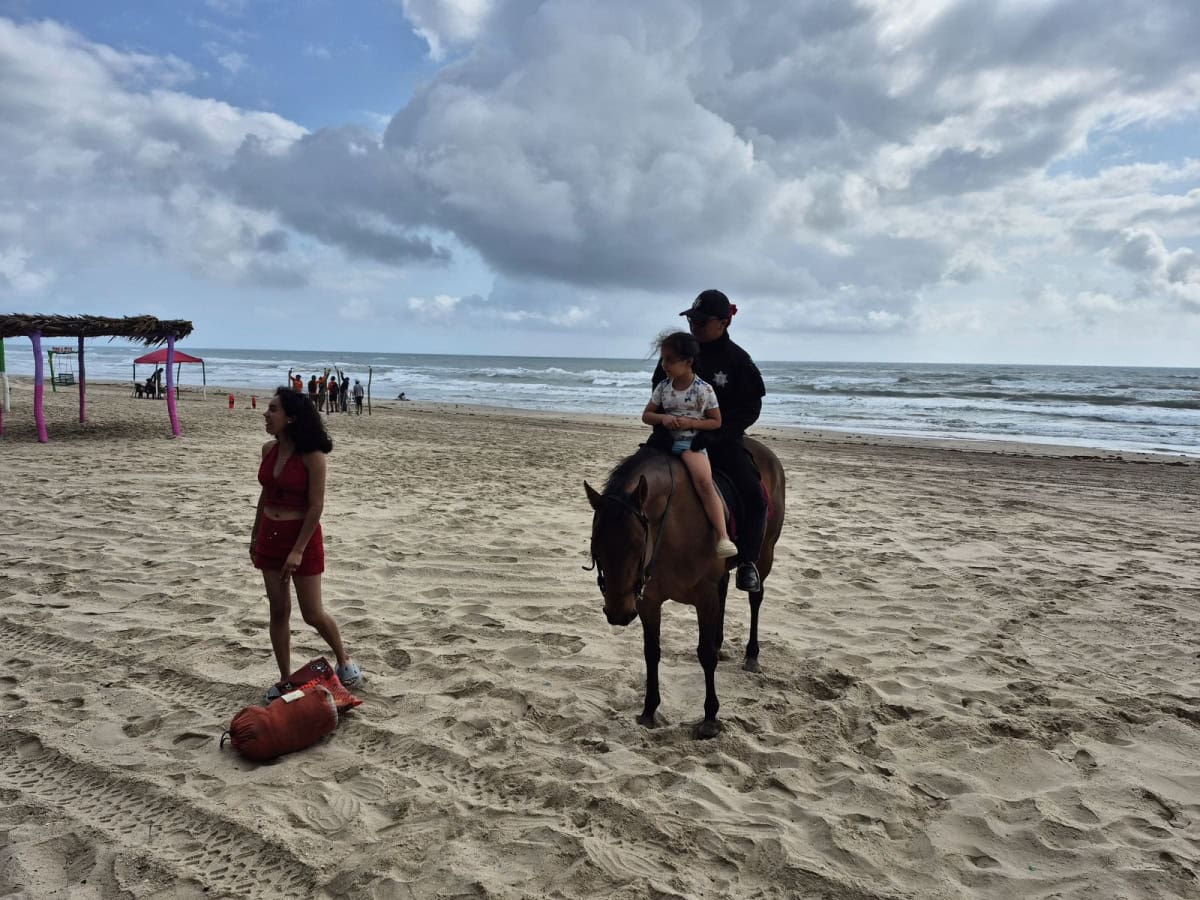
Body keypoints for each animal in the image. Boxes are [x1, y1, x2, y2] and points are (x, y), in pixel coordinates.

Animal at [584, 438, 786, 738]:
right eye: (596, 547)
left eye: (637, 545)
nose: (618, 613)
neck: (671, 528)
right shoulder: (648, 601)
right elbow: (652, 652)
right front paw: (649, 710)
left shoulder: (704, 597)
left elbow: (705, 654)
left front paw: (710, 718)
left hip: (765, 553)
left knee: (755, 598)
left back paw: (752, 655)